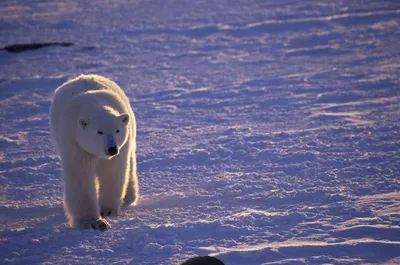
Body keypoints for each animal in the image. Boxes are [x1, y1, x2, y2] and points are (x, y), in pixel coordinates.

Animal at [50, 74, 139, 229]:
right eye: (99, 132)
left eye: (117, 130)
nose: (112, 149)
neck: (94, 104)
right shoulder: (75, 142)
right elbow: (80, 175)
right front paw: (93, 221)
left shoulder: (121, 148)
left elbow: (112, 172)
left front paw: (107, 211)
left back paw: (129, 197)